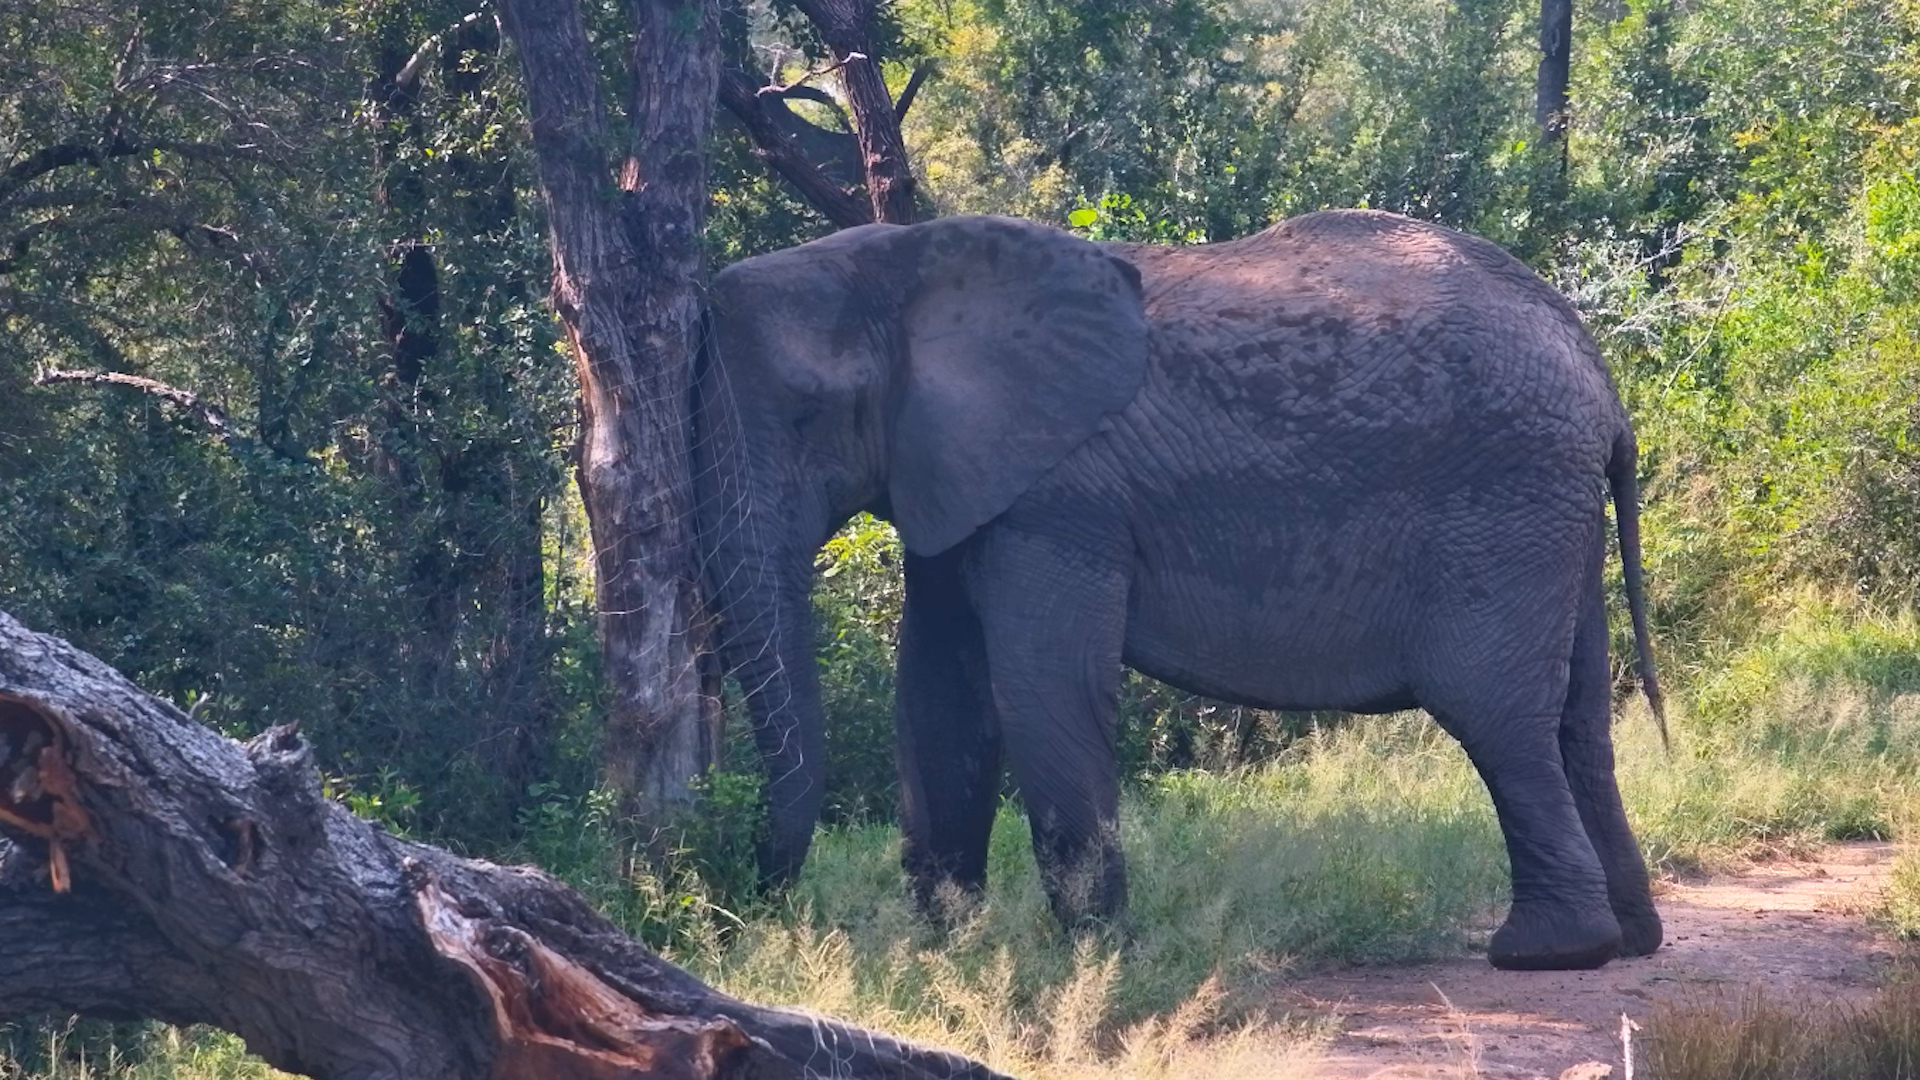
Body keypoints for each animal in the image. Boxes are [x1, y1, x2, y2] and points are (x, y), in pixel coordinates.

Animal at [692, 209, 1666, 971]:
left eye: (808, 414)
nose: (749, 907)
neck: (903, 259)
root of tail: (1604, 385)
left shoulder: (1061, 496)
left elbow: (1040, 686)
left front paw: (1092, 959)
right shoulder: (954, 473)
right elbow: (938, 697)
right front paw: (947, 949)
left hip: (1502, 506)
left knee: (1494, 714)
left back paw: (1548, 952)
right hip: (1552, 516)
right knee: (1579, 721)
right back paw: (1633, 938)